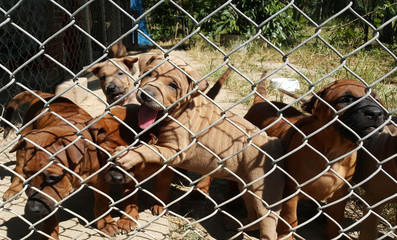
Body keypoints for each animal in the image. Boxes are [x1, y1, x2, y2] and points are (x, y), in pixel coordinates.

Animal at [1, 91, 118, 239]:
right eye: (29, 175)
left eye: (53, 178)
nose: (33, 209)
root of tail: (44, 94)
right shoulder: (48, 201)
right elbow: (49, 218)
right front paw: (49, 233)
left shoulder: (100, 180)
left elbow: (102, 203)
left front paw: (106, 223)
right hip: (23, 143)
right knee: (18, 168)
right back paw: (14, 189)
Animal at [111, 54, 284, 240]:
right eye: (149, 74)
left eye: (173, 86)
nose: (146, 94)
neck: (180, 110)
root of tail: (272, 141)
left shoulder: (174, 150)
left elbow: (149, 149)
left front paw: (128, 154)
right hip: (246, 189)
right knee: (254, 215)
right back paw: (238, 225)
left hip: (264, 196)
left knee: (267, 225)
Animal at [243, 79, 386, 238]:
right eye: (345, 99)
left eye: (377, 99)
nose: (375, 113)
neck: (335, 153)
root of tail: (261, 102)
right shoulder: (291, 192)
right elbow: (290, 220)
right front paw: (287, 236)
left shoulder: (340, 195)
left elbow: (336, 220)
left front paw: (334, 235)